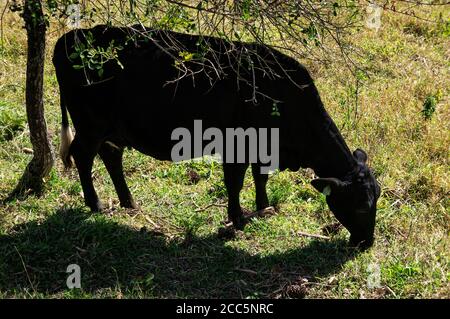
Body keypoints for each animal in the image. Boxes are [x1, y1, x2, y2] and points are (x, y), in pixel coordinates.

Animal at [54, 25, 382, 250]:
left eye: (377, 196)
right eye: (360, 206)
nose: (367, 243)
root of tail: (71, 36)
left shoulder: (264, 148)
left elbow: (261, 177)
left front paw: (263, 208)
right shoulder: (237, 145)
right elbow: (235, 182)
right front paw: (236, 219)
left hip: (115, 128)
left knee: (111, 155)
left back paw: (128, 202)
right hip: (91, 124)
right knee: (82, 155)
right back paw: (95, 204)